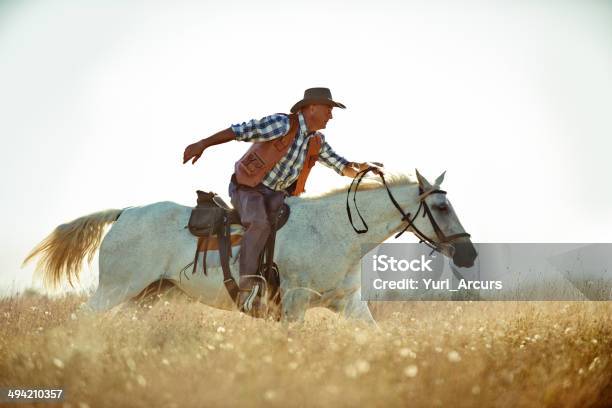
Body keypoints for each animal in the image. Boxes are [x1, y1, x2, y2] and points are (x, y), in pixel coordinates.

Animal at [23, 169, 476, 322]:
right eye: (441, 205)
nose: (468, 254)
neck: (337, 231)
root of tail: (123, 214)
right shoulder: (293, 302)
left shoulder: (349, 303)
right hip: (116, 289)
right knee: (80, 320)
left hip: (144, 297)